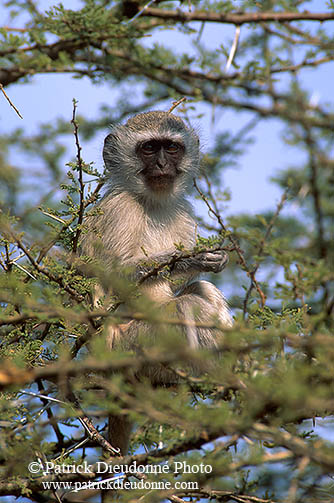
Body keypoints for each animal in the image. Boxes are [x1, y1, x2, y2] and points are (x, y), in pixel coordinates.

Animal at [81, 111, 232, 456]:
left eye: (172, 148)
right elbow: (119, 276)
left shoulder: (183, 211)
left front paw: (213, 260)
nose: (163, 165)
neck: (150, 201)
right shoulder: (121, 209)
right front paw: (193, 259)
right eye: (149, 148)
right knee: (185, 306)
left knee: (201, 292)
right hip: (133, 348)